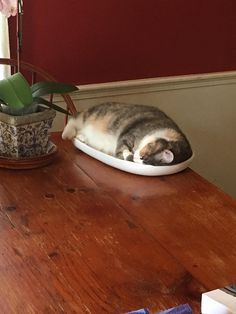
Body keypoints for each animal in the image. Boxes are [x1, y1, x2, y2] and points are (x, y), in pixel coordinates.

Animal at [61, 102, 193, 167]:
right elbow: (122, 146)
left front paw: (128, 156)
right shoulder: (129, 135)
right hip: (92, 115)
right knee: (74, 120)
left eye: (143, 161)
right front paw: (127, 153)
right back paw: (66, 134)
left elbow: (122, 154)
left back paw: (82, 138)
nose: (135, 157)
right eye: (143, 157)